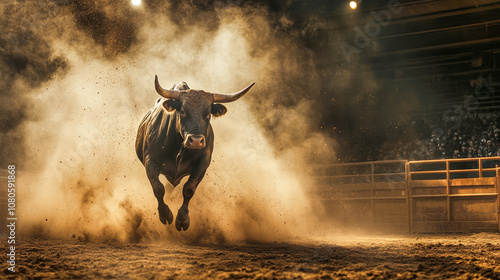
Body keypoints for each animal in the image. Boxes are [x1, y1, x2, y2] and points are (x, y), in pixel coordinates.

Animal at [135, 75, 254, 231]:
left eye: (208, 114)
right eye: (182, 111)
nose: (196, 141)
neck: (179, 150)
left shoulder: (203, 162)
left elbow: (189, 189)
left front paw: (182, 219)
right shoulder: (150, 160)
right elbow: (158, 188)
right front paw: (165, 215)